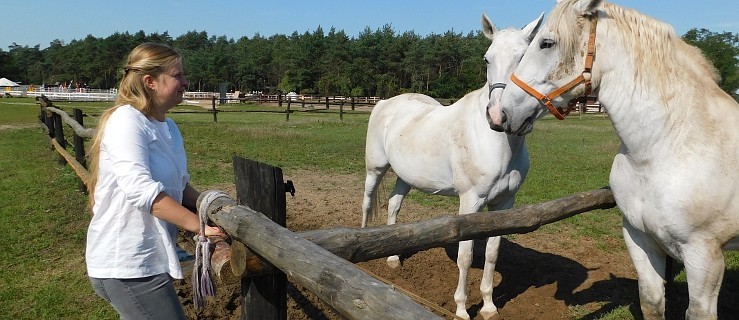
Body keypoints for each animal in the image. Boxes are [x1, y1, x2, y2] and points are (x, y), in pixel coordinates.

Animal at [362, 11, 544, 320]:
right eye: (487, 59)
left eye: (523, 57)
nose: (499, 116)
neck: (497, 143)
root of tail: (385, 102)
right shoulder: (470, 202)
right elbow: (465, 256)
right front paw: (461, 309)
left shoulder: (504, 204)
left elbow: (492, 253)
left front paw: (489, 307)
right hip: (375, 169)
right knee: (366, 202)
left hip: (405, 177)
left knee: (394, 205)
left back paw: (393, 258)